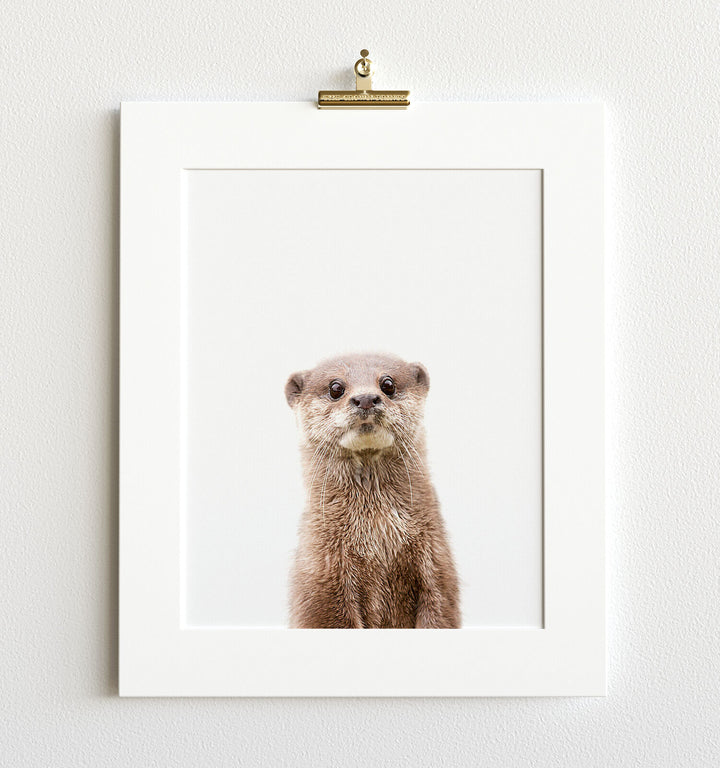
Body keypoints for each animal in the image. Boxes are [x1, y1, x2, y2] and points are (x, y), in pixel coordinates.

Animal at [285, 353, 460, 629]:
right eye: (336, 388)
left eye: (388, 384)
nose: (366, 398)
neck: (377, 539)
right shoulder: (321, 578)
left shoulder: (438, 565)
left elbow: (440, 611)